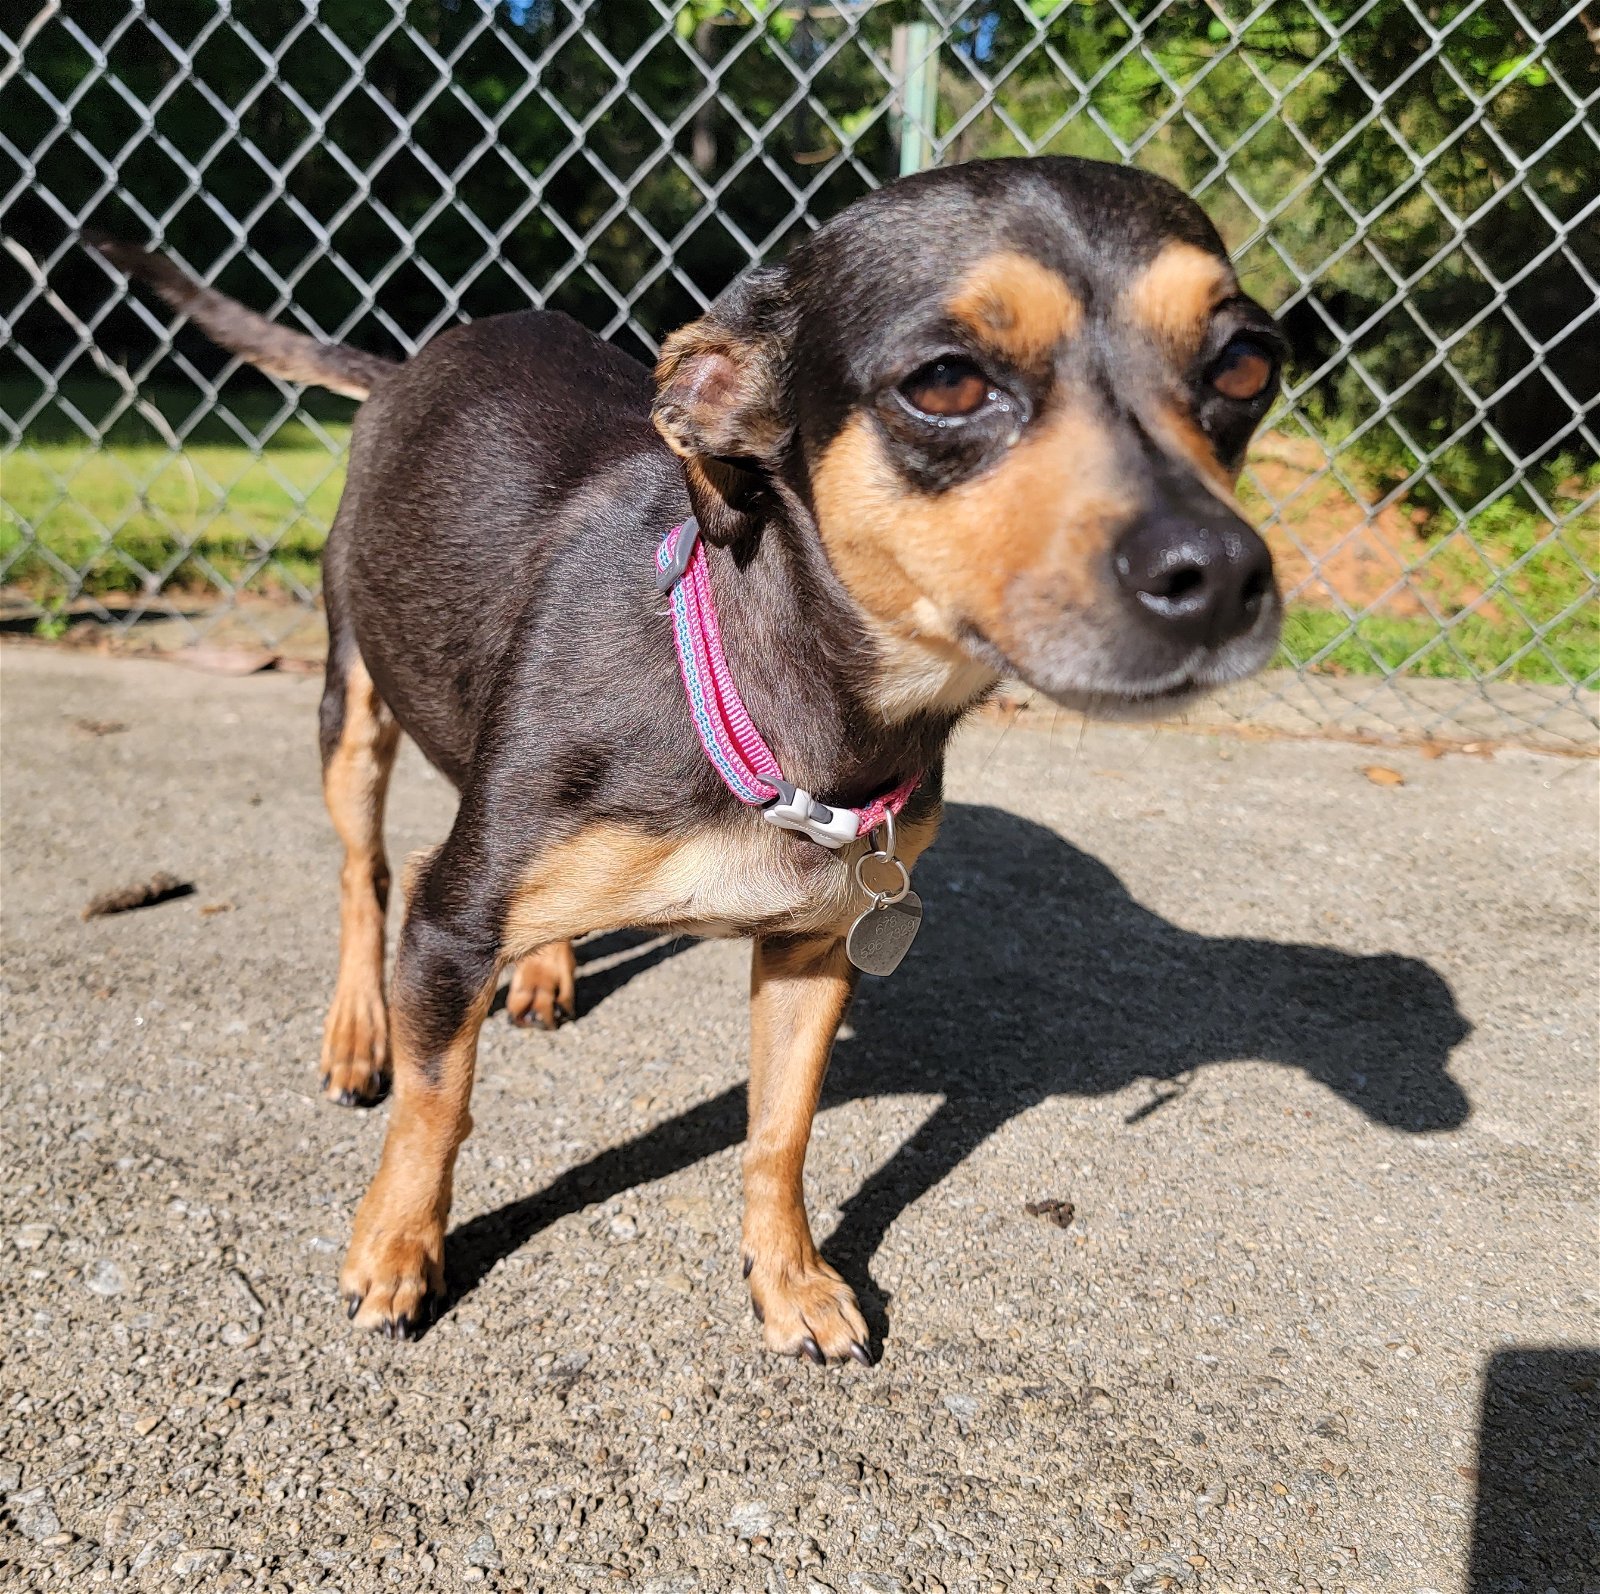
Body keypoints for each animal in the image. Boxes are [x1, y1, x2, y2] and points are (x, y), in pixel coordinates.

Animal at [103, 156, 1286, 1363]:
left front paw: (791, 1277)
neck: (780, 704)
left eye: (1247, 362)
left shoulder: (814, 948)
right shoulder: (448, 922)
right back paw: (357, 1032)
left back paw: (543, 969)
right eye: (947, 383)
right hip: (353, 707)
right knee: (361, 873)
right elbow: (436, 1110)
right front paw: (395, 1249)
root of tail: (410, 364)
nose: (1221, 575)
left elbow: (780, 1135)